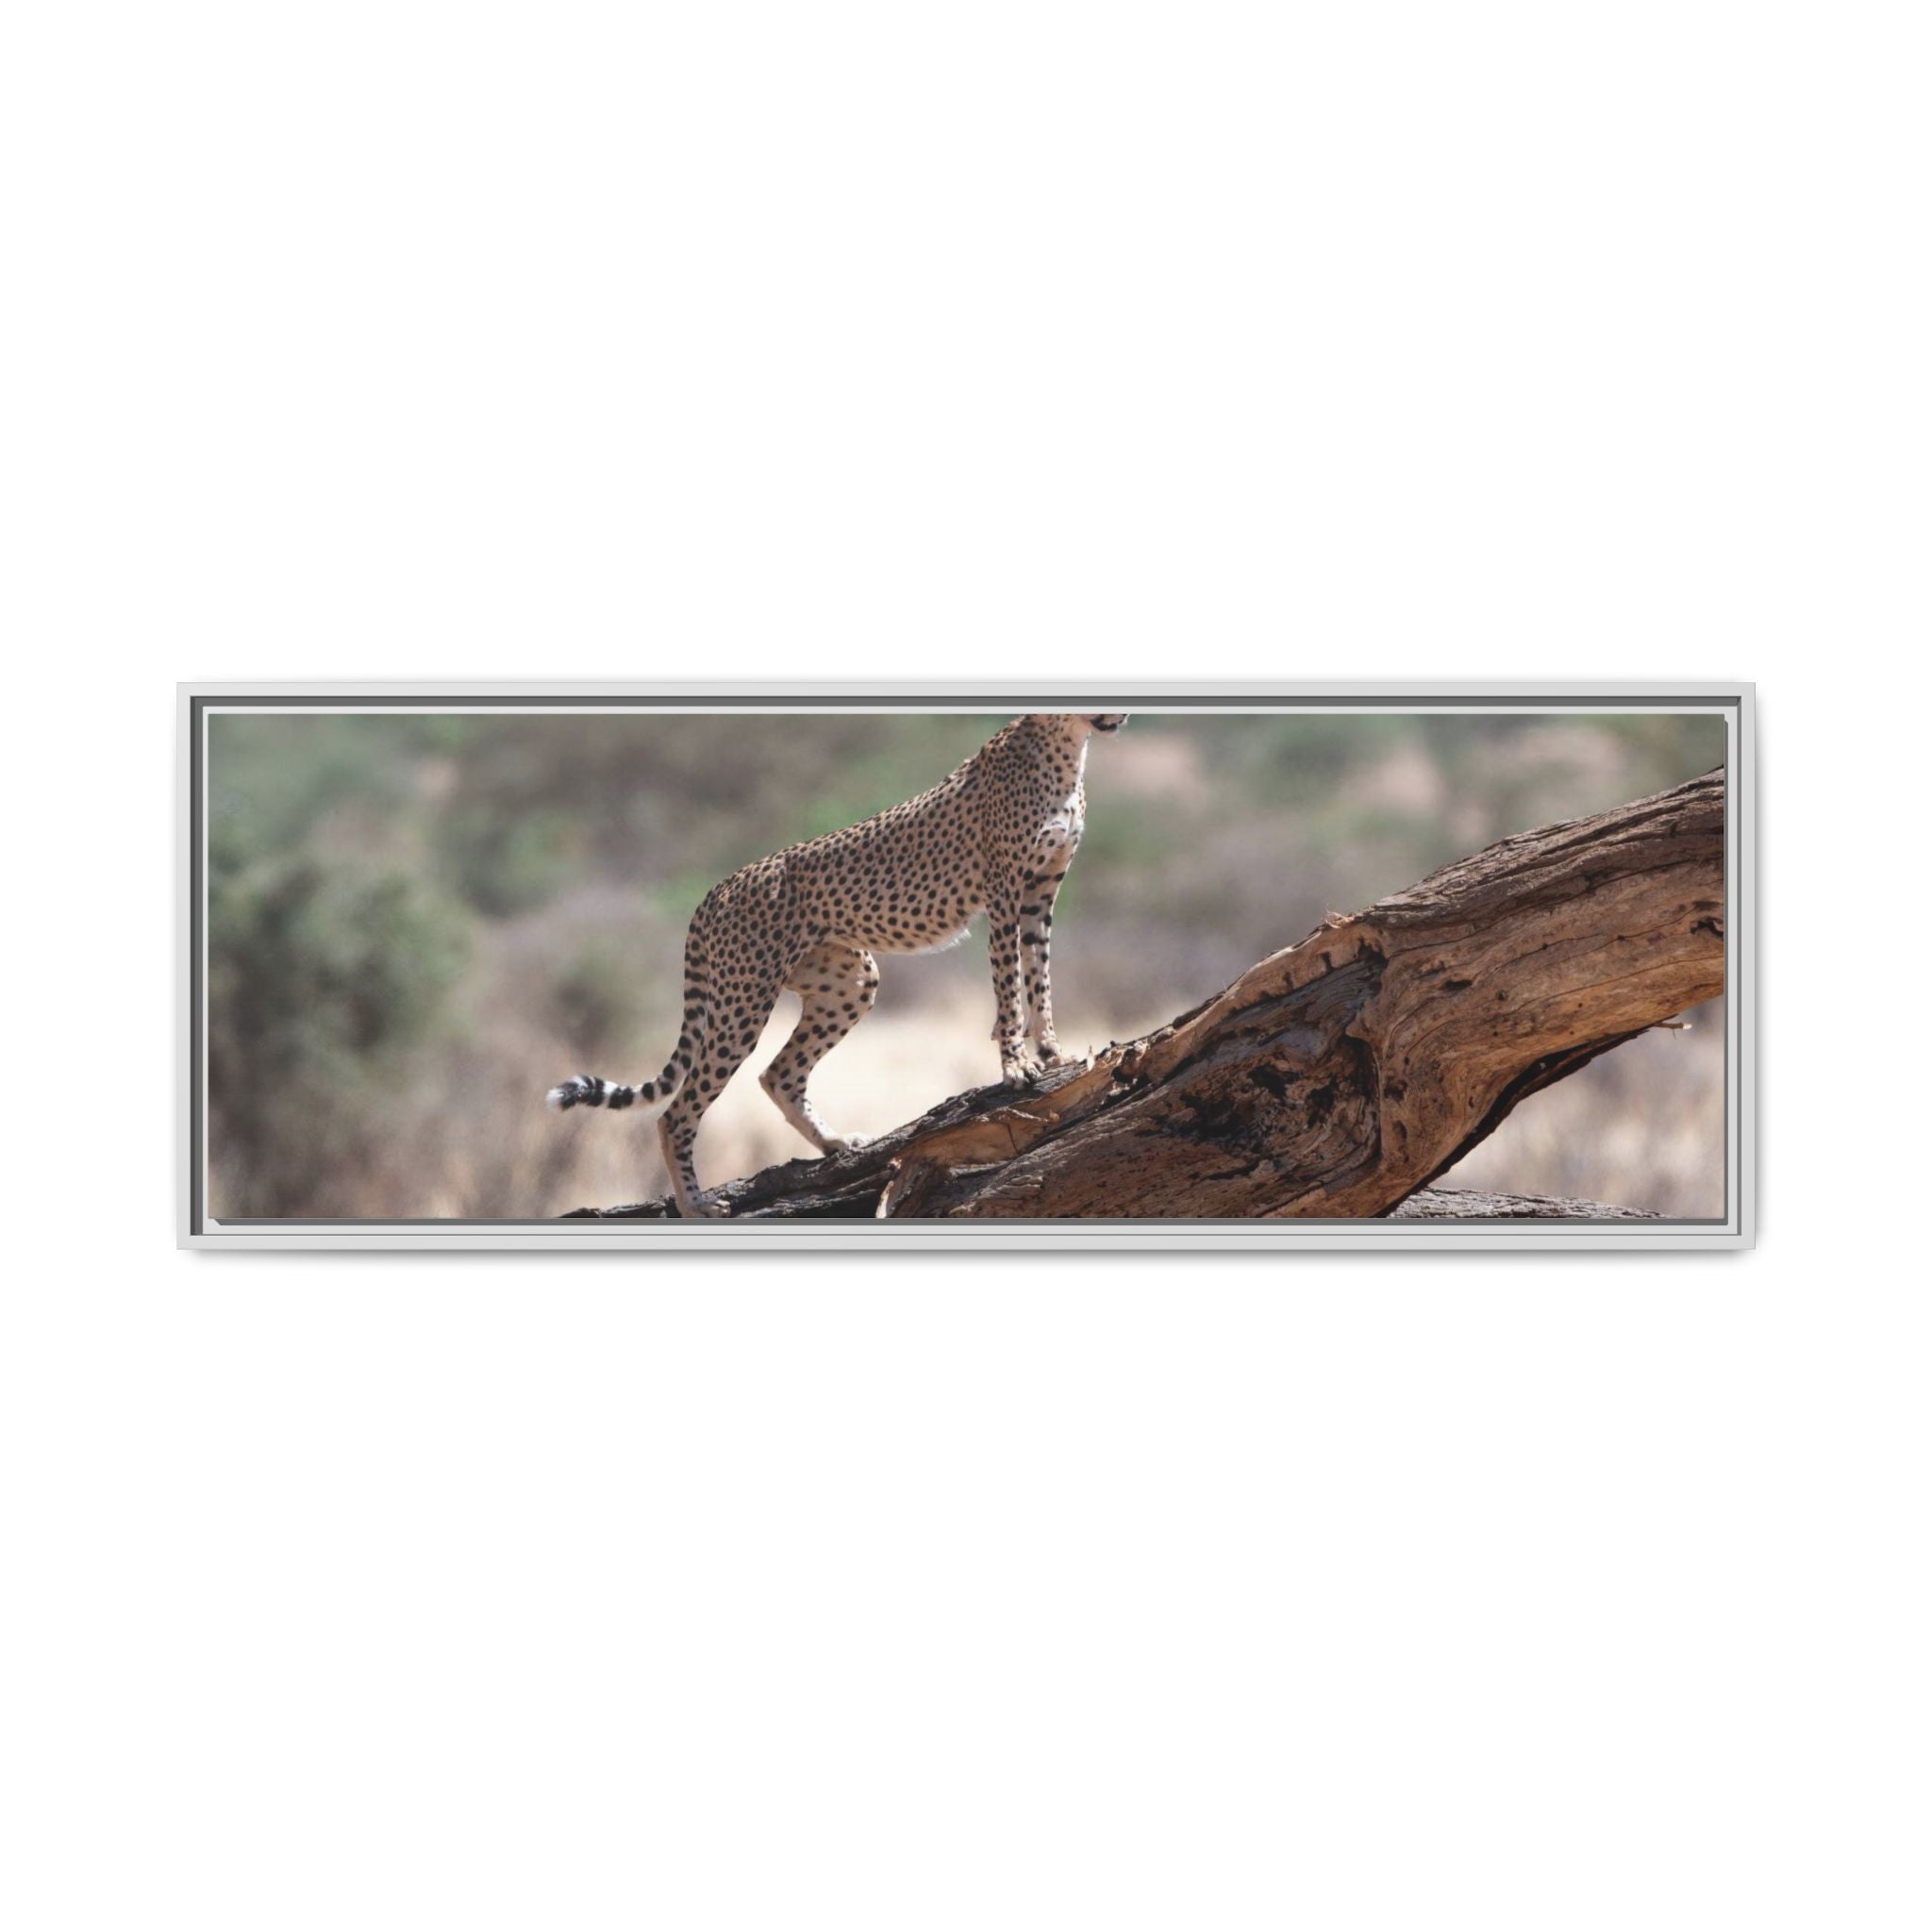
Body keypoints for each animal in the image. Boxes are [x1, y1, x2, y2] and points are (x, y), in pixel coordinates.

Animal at [546, 712, 1129, 1217]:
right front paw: (1016, 1066)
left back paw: (834, 1143)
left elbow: (1039, 975)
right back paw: (695, 1205)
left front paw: (1052, 1051)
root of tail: (719, 886)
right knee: (676, 1112)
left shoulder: (1040, 892)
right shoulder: (1004, 889)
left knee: (779, 1074)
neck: (1066, 746)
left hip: (849, 981)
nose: (1118, 713)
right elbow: (1009, 983)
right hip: (743, 1001)